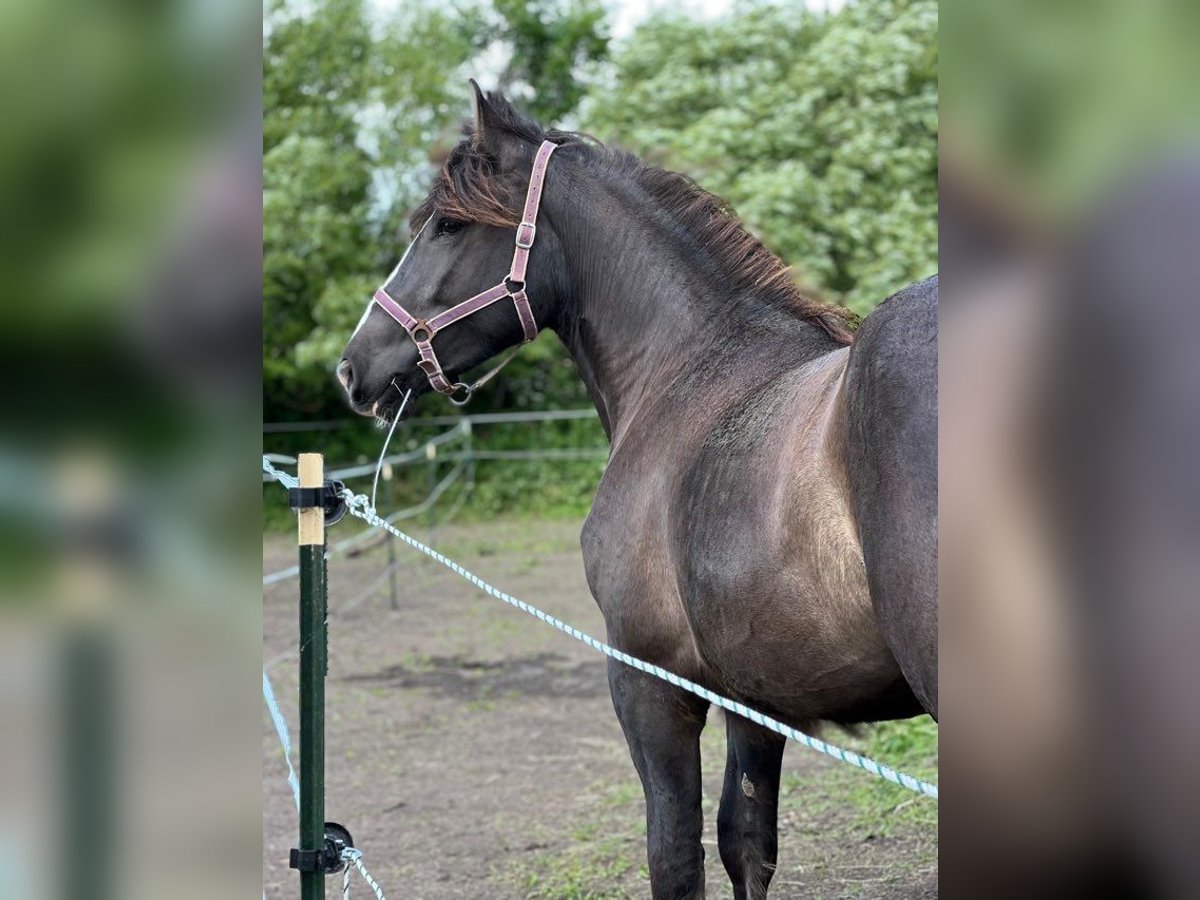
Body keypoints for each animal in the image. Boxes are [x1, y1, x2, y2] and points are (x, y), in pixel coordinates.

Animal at [338, 82, 936, 897]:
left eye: (450, 225)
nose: (352, 367)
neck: (686, 371)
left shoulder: (648, 685)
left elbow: (674, 856)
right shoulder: (752, 695)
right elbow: (747, 843)